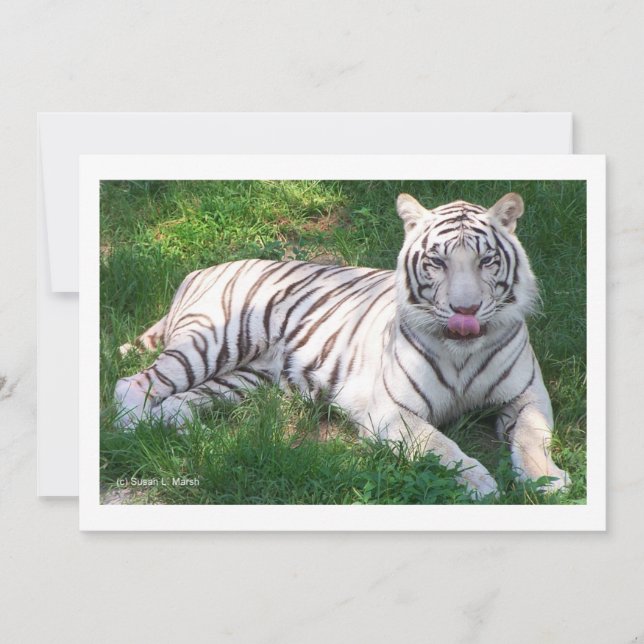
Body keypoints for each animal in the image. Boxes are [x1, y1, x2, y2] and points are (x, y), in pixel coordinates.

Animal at [114, 192, 570, 498]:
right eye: (437, 262)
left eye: (486, 261)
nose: (466, 310)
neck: (463, 352)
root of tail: (197, 270)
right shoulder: (390, 410)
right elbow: (443, 446)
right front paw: (481, 484)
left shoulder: (528, 393)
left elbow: (532, 436)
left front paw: (548, 480)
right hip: (213, 342)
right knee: (132, 384)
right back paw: (133, 432)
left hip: (241, 379)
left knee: (176, 402)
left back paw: (183, 431)